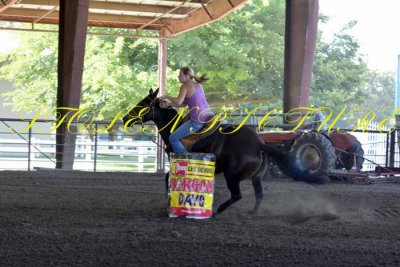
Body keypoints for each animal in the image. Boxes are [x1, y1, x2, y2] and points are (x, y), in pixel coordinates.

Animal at [122, 89, 288, 215]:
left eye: (142, 104)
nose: (124, 118)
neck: (173, 128)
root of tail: (259, 144)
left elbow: (168, 177)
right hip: (256, 177)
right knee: (259, 194)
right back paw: (252, 212)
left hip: (232, 176)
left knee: (237, 195)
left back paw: (218, 210)